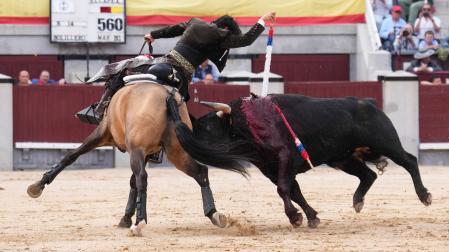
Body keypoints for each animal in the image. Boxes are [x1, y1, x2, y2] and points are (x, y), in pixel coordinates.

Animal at [27, 82, 248, 236]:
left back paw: (140, 223)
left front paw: (38, 185)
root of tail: (167, 97)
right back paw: (214, 214)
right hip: (176, 152)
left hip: (137, 149)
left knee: (143, 178)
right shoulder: (148, 153)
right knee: (200, 172)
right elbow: (131, 182)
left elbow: (72, 155)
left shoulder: (104, 133)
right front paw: (125, 217)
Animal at [182, 94, 430, 228]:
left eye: (209, 128)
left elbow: (284, 190)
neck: (250, 124)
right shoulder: (271, 170)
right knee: (368, 174)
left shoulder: (285, 160)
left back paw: (424, 195)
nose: (188, 142)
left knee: (409, 161)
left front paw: (294, 217)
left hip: (386, 142)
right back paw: (358, 201)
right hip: (341, 159)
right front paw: (311, 217)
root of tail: (369, 103)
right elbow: (294, 192)